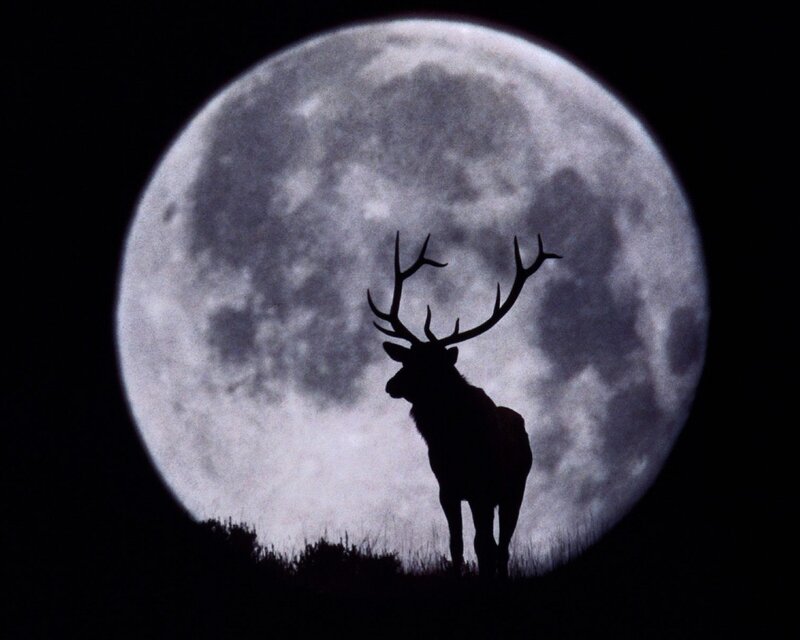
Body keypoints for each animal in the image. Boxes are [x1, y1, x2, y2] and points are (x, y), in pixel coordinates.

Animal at [368, 232, 561, 579]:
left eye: (430, 366)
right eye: (407, 359)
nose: (391, 385)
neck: (453, 440)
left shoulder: (484, 488)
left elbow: (483, 546)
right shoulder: (448, 488)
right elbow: (456, 545)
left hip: (514, 490)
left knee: (501, 546)